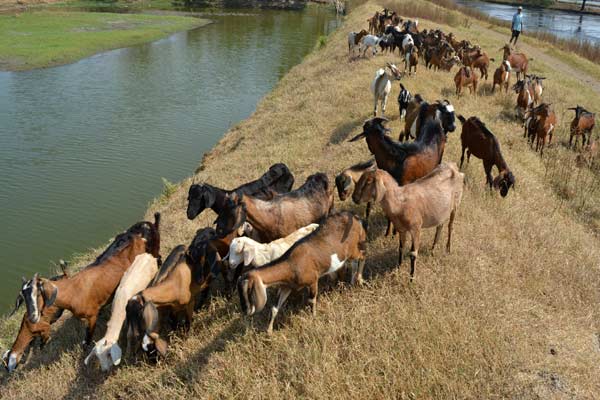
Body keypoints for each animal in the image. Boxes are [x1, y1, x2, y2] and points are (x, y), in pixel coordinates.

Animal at [20, 214, 162, 346]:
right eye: (23, 297)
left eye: (38, 293)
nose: (32, 317)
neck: (73, 291)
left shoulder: (92, 315)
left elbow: (88, 336)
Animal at [238, 212, 368, 334]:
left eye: (248, 290)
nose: (246, 311)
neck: (290, 264)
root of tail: (355, 218)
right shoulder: (286, 287)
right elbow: (274, 308)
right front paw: (269, 332)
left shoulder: (312, 281)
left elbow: (312, 301)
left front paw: (314, 319)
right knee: (354, 262)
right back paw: (351, 284)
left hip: (353, 249)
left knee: (362, 256)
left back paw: (360, 280)